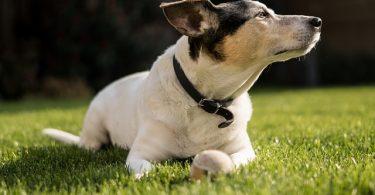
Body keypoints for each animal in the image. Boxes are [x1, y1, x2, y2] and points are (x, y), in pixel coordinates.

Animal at [42, 0, 322, 177]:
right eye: (262, 15)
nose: (318, 20)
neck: (207, 101)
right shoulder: (139, 155)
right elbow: (145, 169)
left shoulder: (244, 151)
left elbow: (234, 160)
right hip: (94, 131)